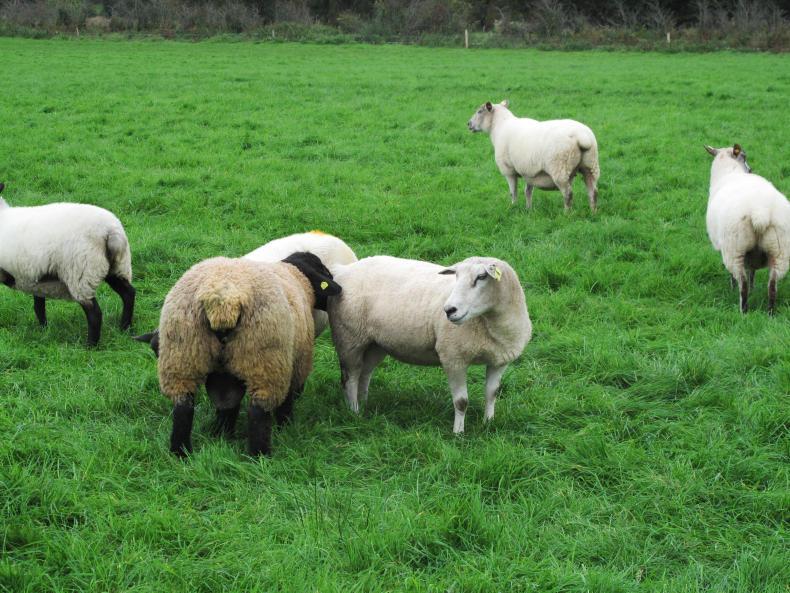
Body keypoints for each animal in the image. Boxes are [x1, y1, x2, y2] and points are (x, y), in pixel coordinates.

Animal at [0, 183, 135, 346]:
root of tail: (110, 231)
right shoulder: (35, 278)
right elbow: (39, 306)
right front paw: (43, 329)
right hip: (117, 266)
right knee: (128, 294)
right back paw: (125, 328)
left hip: (81, 272)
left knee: (94, 313)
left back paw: (91, 345)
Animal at [136, 252, 341, 457]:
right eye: (324, 272)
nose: (339, 292)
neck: (298, 277)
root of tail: (223, 301)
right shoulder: (295, 364)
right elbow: (286, 402)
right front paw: (286, 427)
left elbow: (228, 404)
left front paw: (222, 434)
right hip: (265, 360)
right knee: (258, 412)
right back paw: (259, 456)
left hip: (182, 355)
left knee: (183, 408)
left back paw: (180, 453)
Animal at [328, 255, 531, 433]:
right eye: (456, 276)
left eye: (481, 277)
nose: (449, 310)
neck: (492, 325)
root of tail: (343, 269)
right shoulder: (453, 358)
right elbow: (461, 402)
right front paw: (458, 433)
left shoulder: (499, 360)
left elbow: (492, 393)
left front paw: (488, 423)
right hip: (349, 338)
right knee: (350, 378)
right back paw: (354, 412)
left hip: (375, 343)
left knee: (365, 373)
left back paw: (364, 405)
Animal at [468, 100, 600, 212]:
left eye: (479, 111)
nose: (468, 124)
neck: (499, 126)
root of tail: (582, 137)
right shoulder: (529, 171)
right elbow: (528, 191)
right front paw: (528, 209)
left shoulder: (508, 170)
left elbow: (513, 192)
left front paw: (513, 206)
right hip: (591, 165)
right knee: (593, 191)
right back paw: (593, 212)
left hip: (560, 169)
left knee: (568, 194)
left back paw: (567, 214)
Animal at [704, 144, 790, 314]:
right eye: (744, 157)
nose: (750, 170)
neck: (729, 171)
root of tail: (760, 211)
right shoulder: (754, 254)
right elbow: (753, 271)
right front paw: (753, 288)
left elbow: (738, 276)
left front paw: (733, 288)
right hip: (780, 251)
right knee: (772, 286)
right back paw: (770, 313)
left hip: (734, 249)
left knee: (741, 283)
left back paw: (743, 311)